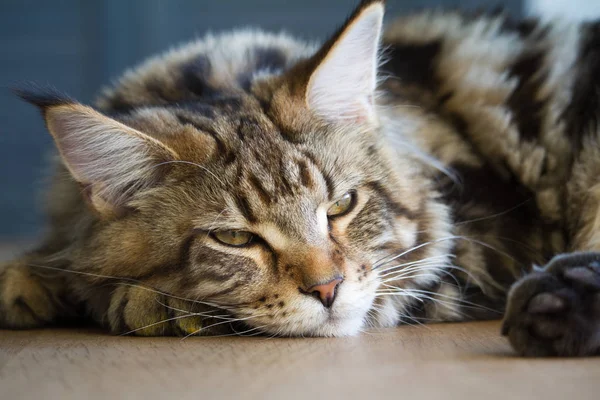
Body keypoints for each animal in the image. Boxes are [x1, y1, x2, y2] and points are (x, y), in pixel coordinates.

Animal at [1, 0, 600, 356]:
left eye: (342, 206)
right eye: (234, 237)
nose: (328, 289)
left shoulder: (466, 251)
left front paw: (141, 301)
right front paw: (29, 278)